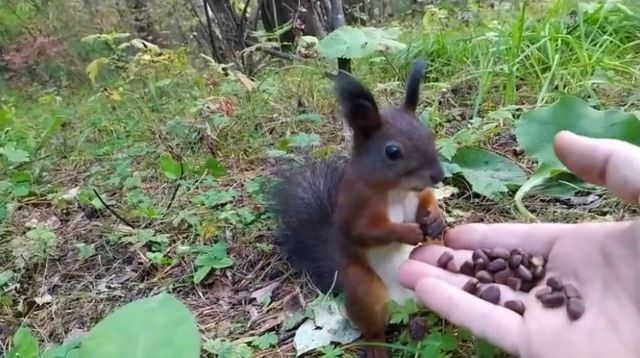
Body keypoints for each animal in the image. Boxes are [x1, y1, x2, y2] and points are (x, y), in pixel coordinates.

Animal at [268, 60, 444, 356]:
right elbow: (366, 232)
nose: (439, 175)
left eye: (429, 133)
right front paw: (406, 232)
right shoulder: (356, 207)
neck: (397, 191)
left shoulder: (418, 194)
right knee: (373, 330)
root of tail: (404, 304)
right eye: (392, 152)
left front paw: (435, 219)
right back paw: (379, 348)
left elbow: (428, 201)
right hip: (364, 290)